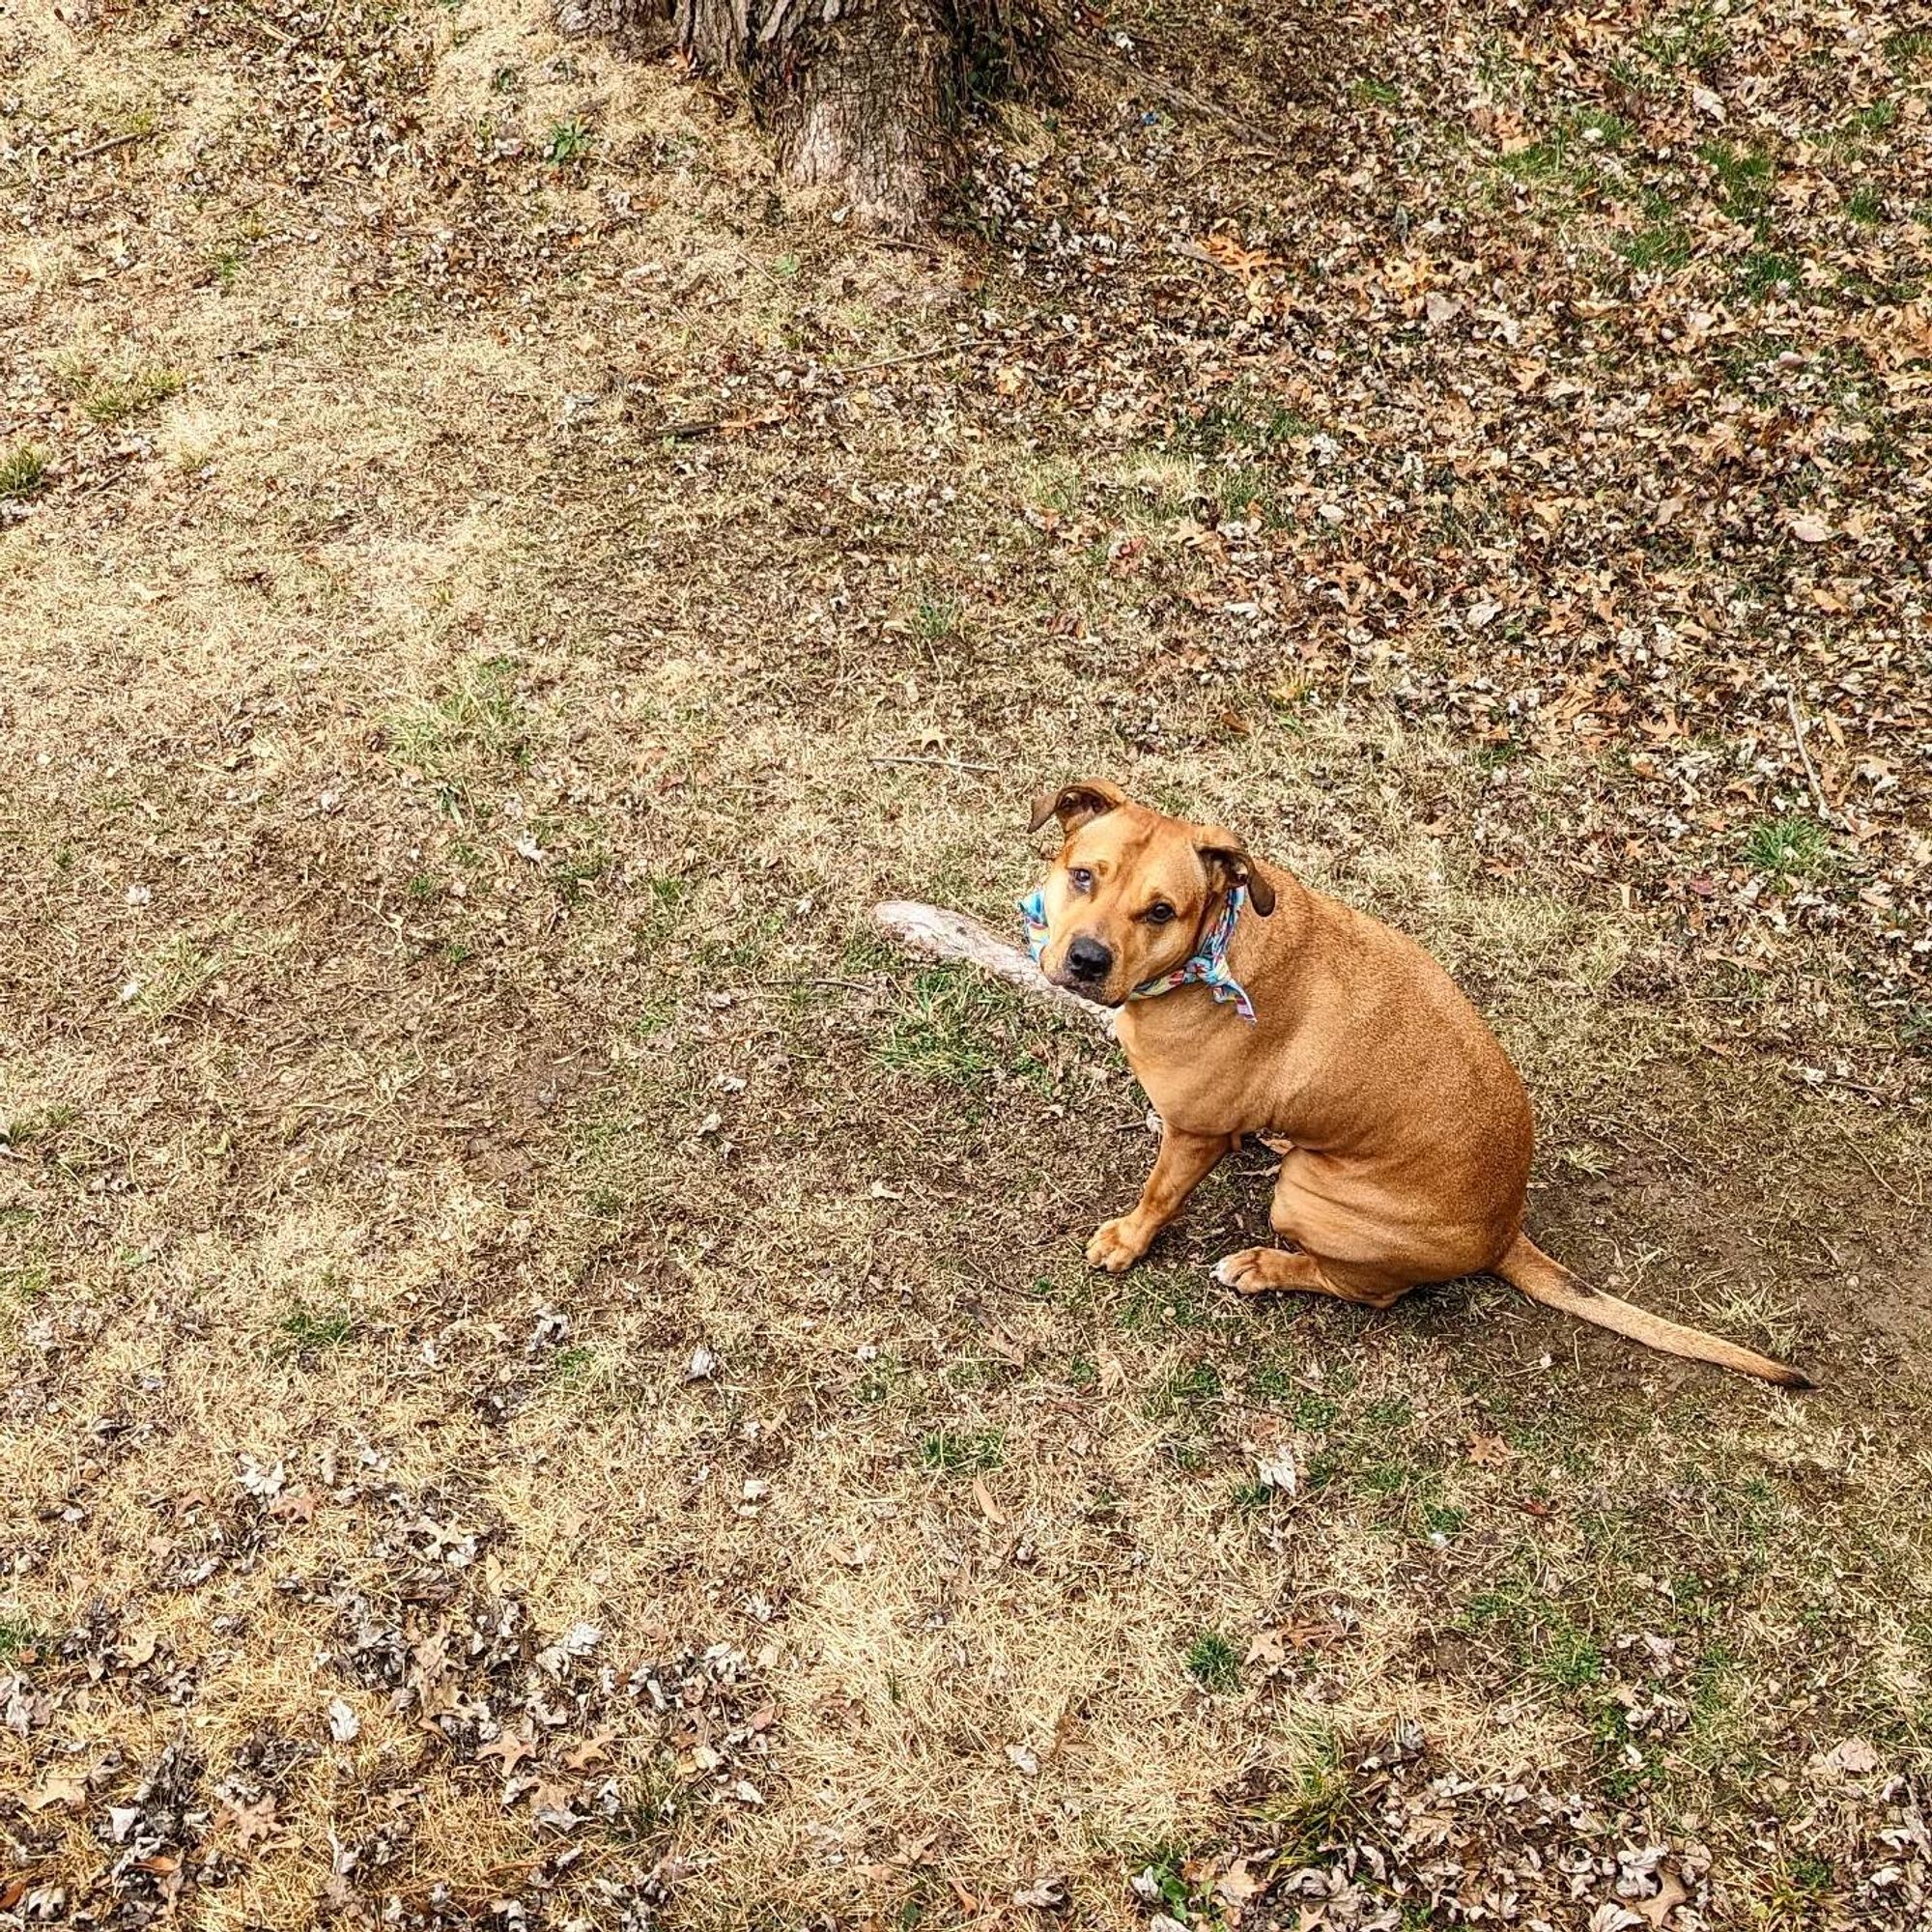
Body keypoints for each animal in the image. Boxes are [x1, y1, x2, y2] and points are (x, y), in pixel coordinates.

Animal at [1028, 777, 1808, 1399]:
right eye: (1084, 876)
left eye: (1161, 911)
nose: (1088, 960)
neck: (1210, 948)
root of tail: (1505, 1230)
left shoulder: (1196, 1134)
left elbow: (1159, 1195)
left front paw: (1126, 1241)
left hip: (1308, 1198)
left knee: (1368, 1291)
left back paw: (1263, 1265)